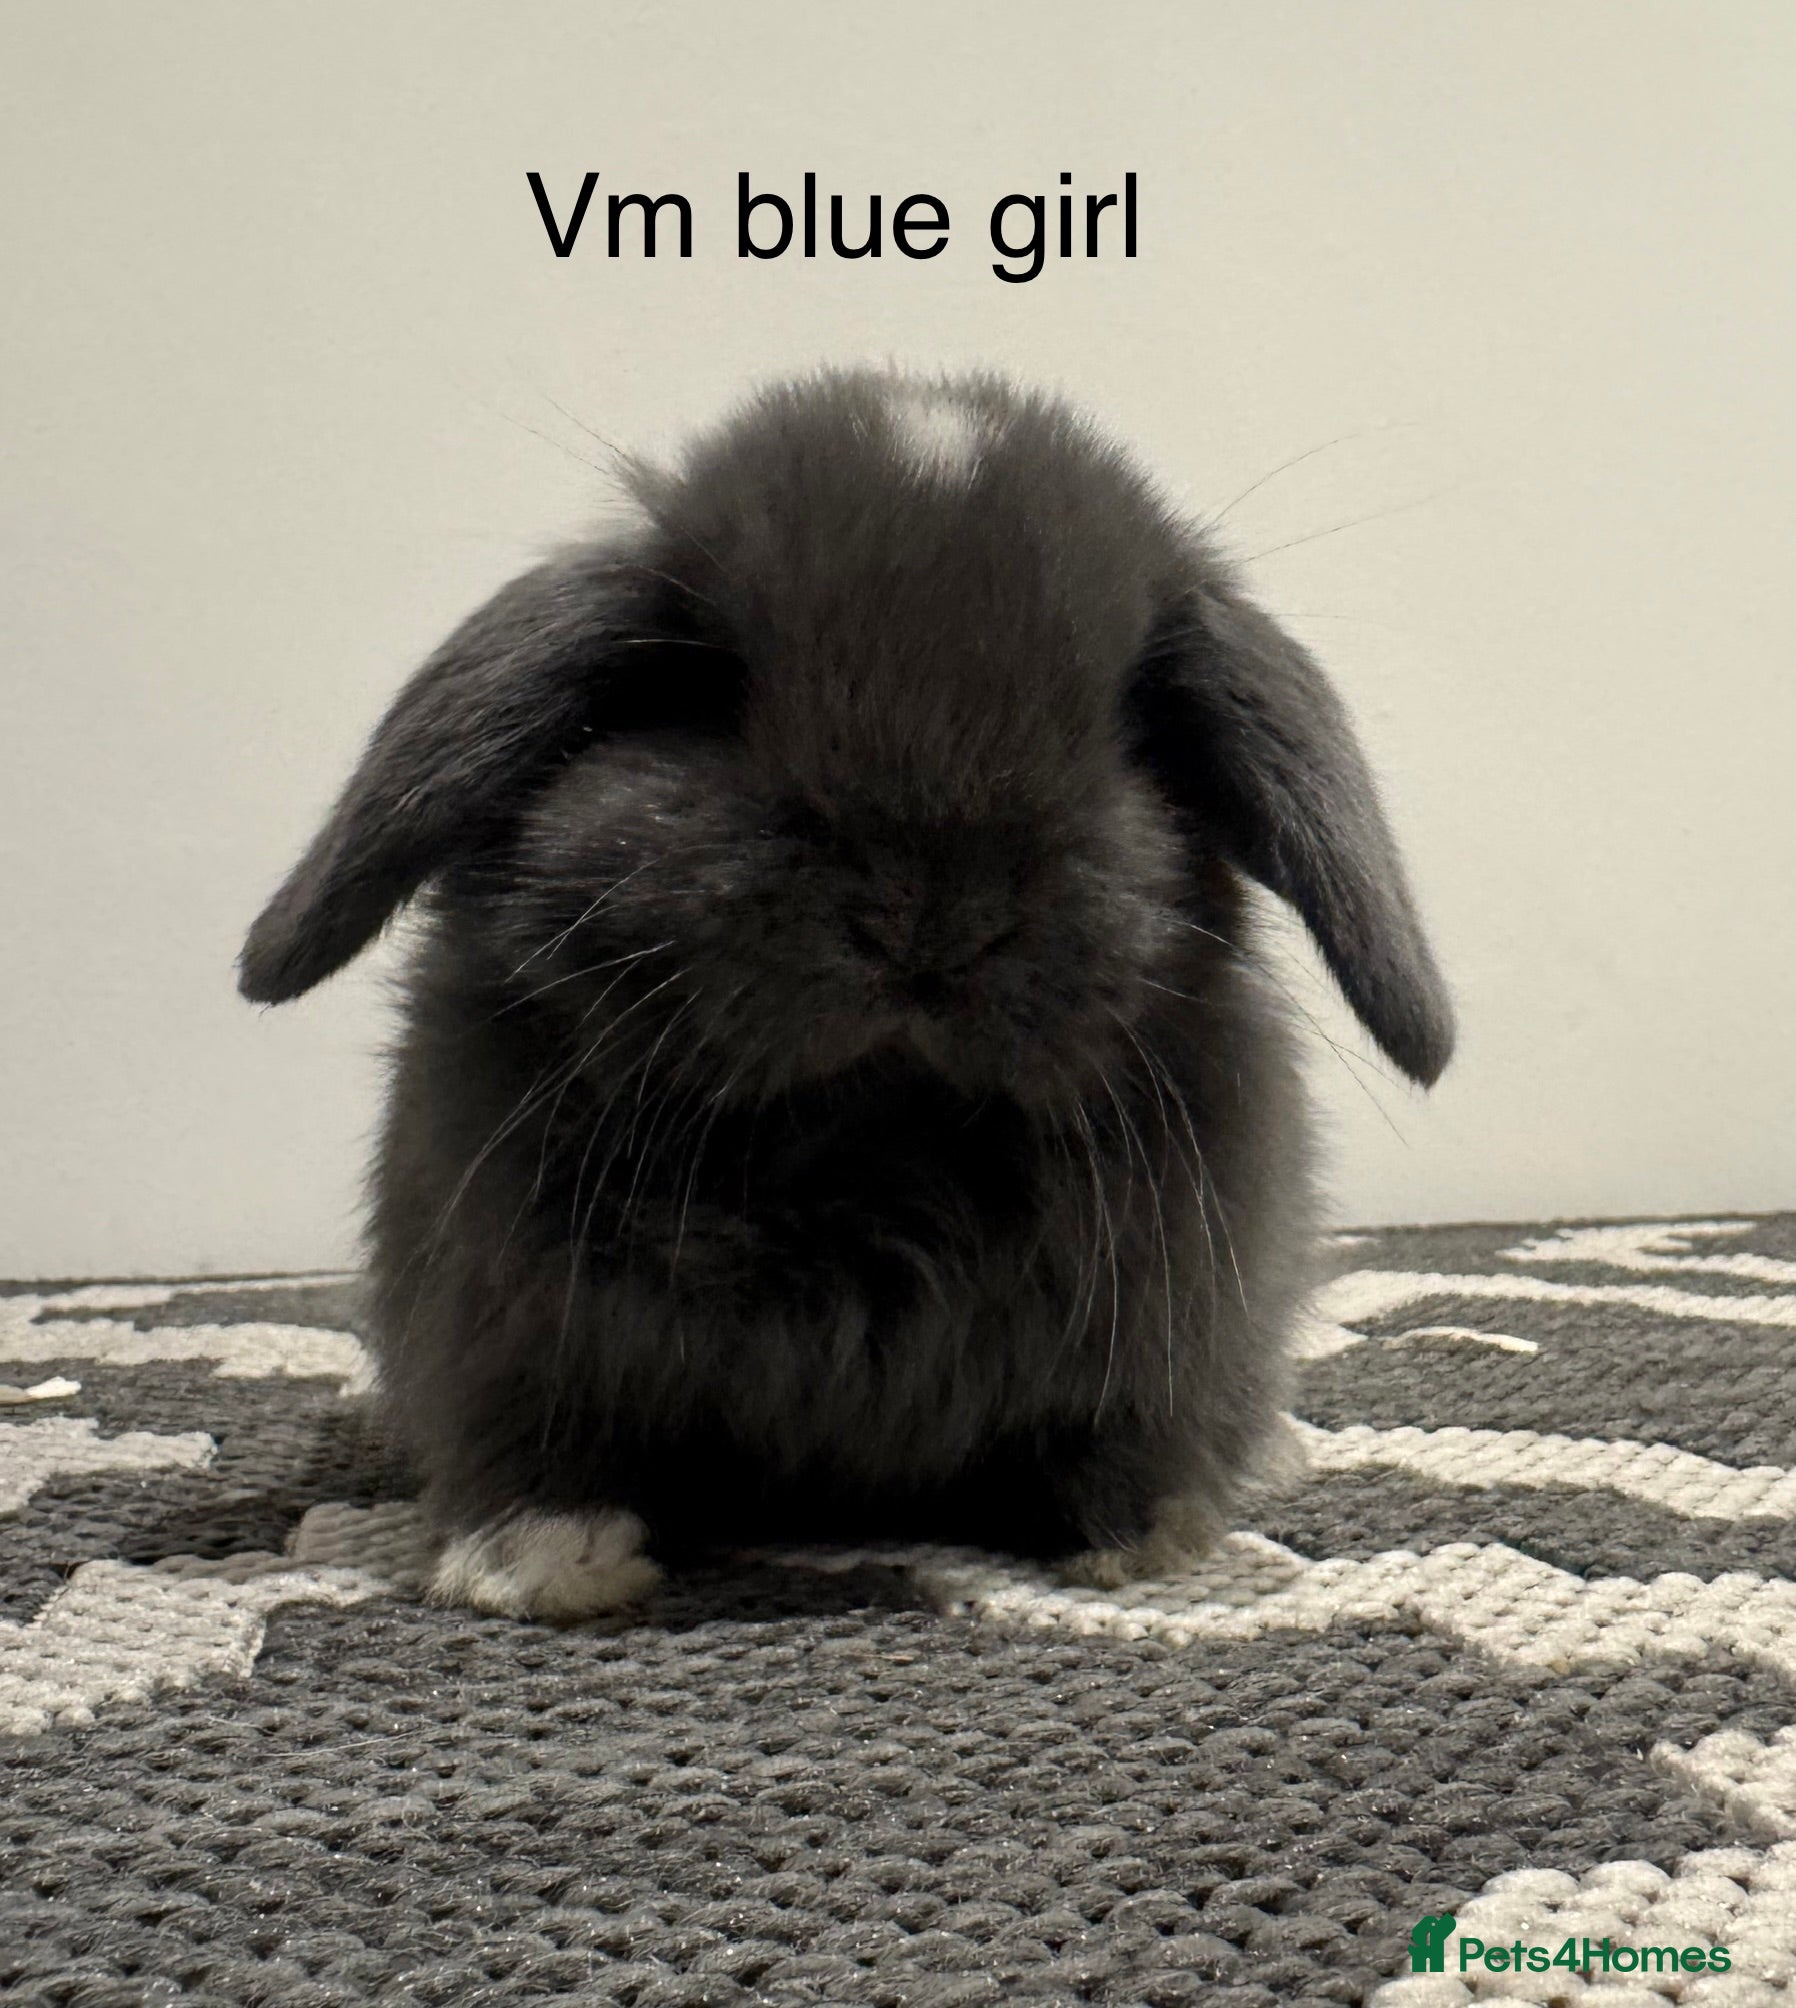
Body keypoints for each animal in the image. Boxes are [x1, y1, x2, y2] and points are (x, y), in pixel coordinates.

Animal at [239, 368, 1454, 1619]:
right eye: (696, 684)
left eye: (1129, 722)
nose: (928, 909)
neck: (872, 1136)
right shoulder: (501, 1314)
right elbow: (534, 1438)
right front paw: (537, 1563)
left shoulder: (1171, 1323)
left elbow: (1123, 1437)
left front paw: (1154, 1537)